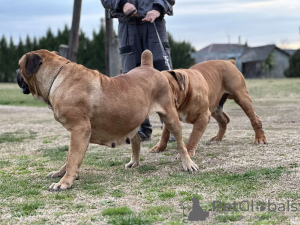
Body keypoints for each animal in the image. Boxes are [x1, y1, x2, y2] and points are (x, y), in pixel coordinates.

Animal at [17, 50, 199, 191]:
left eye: (19, 66)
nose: (16, 73)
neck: (57, 77)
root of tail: (148, 66)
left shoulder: (79, 130)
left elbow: (72, 158)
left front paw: (64, 183)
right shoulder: (81, 134)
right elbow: (71, 158)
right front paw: (61, 174)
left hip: (170, 116)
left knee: (180, 143)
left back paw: (188, 164)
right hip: (132, 119)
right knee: (136, 140)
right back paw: (134, 162)